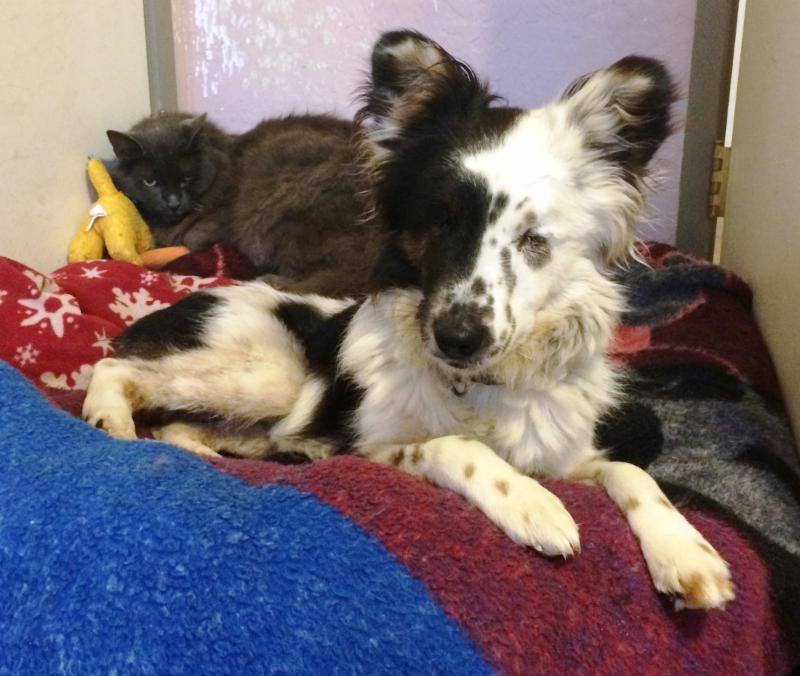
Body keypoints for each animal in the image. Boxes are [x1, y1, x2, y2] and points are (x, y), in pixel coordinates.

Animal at [84, 31, 736, 608]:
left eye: (534, 240)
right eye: (440, 221)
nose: (457, 339)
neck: (479, 387)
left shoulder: (565, 457)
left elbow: (632, 472)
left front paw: (688, 553)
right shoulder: (375, 449)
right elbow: (455, 446)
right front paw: (532, 504)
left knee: (180, 427)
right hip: (268, 374)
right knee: (118, 370)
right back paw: (109, 420)